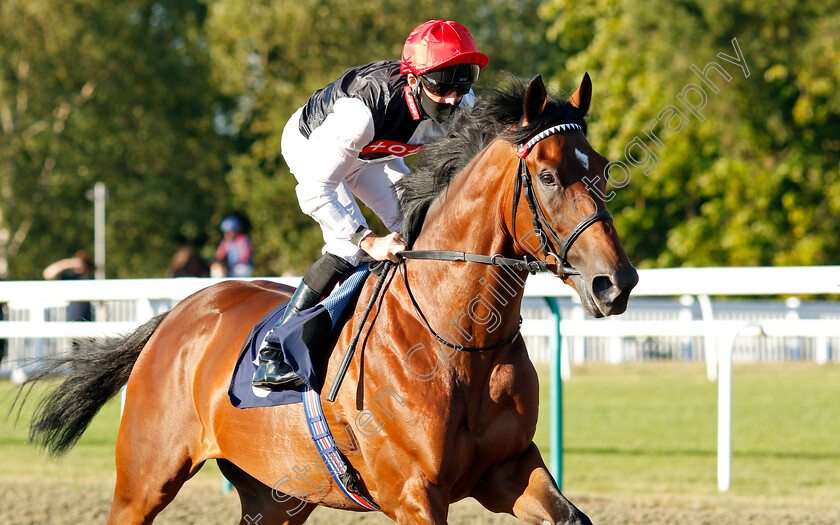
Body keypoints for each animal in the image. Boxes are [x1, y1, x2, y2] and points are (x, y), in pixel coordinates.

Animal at [23, 74, 636, 524]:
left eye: (603, 170)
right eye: (550, 177)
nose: (617, 282)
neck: (459, 341)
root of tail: (177, 314)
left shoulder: (510, 470)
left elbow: (569, 514)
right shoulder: (413, 493)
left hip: (275, 494)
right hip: (145, 479)